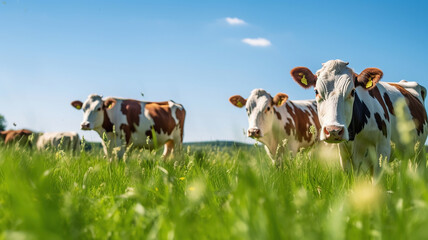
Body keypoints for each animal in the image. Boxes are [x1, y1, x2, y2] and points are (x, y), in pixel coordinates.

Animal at [290, 60, 428, 176]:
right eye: (316, 91)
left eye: (352, 91)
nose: (333, 130)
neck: (355, 136)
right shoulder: (345, 157)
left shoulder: (382, 151)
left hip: (420, 153)